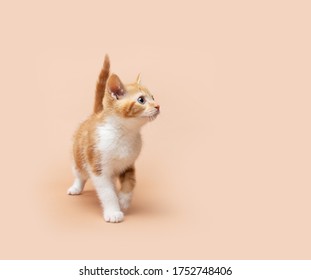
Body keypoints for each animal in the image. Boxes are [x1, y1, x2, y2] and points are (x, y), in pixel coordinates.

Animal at [68, 55, 161, 223]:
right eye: (141, 100)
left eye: (153, 97)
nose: (158, 106)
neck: (124, 133)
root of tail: (95, 114)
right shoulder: (98, 167)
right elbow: (107, 192)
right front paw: (113, 211)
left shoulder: (129, 163)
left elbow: (130, 182)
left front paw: (123, 200)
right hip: (79, 155)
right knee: (80, 173)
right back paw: (76, 187)